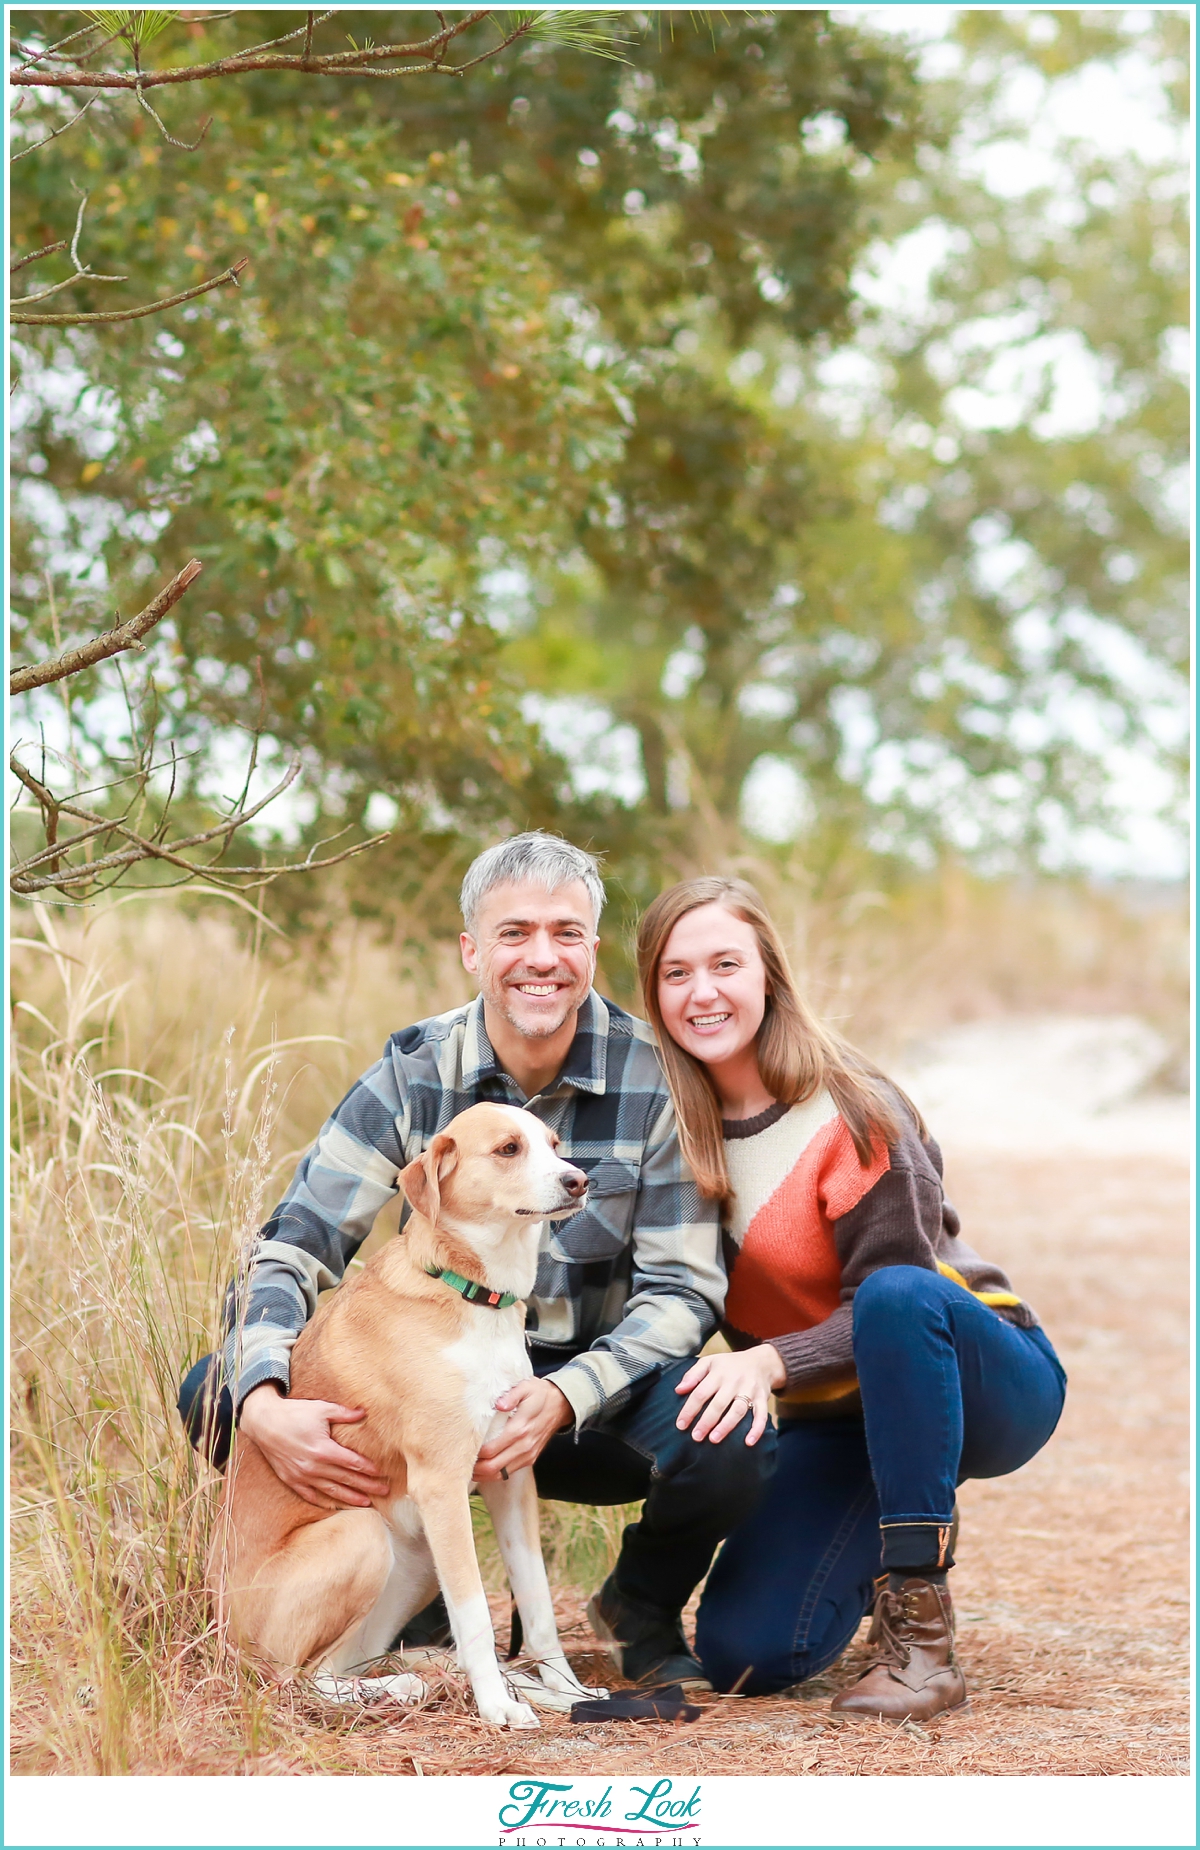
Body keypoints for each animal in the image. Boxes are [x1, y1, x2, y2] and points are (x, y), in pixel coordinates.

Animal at [210, 1095, 602, 1716]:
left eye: (555, 1145)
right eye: (508, 1149)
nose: (579, 1180)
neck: (473, 1295)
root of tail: (218, 1634)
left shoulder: (510, 1476)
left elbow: (537, 1603)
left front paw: (567, 1692)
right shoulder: (442, 1484)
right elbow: (473, 1611)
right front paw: (497, 1707)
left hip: (414, 1558)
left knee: (341, 1664)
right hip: (363, 1534)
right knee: (297, 1680)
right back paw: (403, 1687)